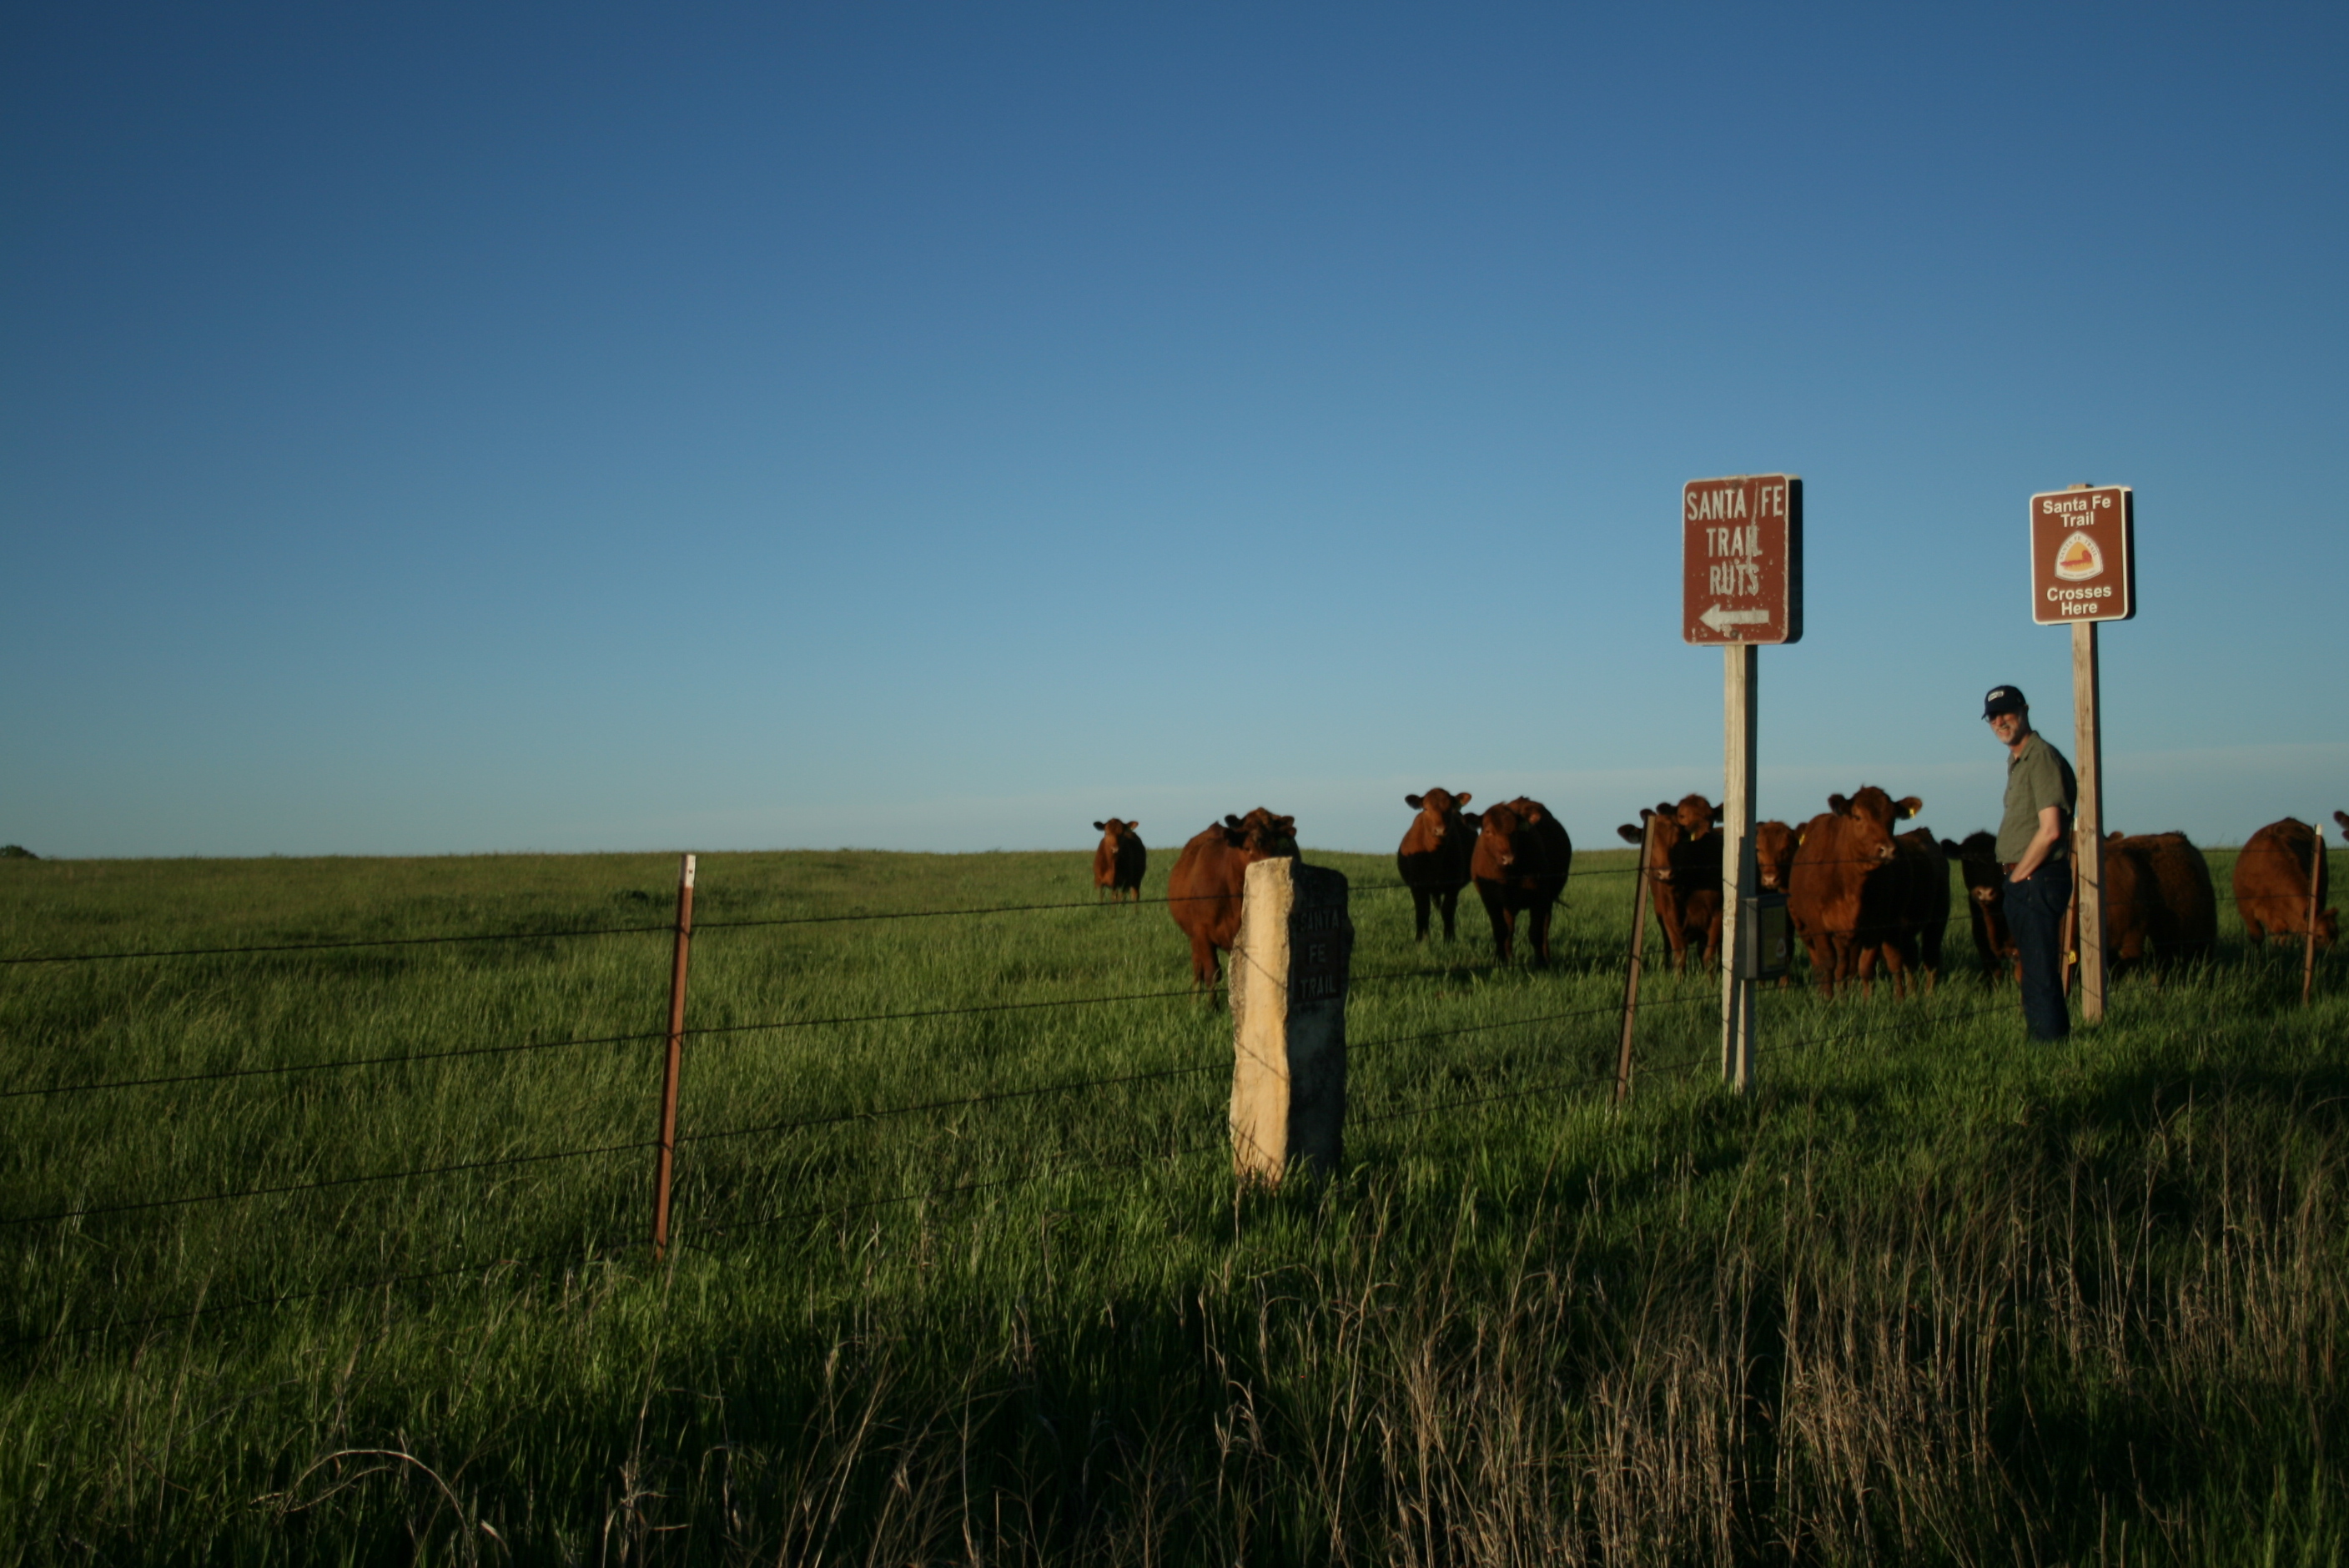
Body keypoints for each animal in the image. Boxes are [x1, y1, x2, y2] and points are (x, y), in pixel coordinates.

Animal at [1396, 788, 1476, 942]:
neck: (1435, 856)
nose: (1440, 830)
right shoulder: (1417, 885)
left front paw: (1449, 939)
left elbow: (1448, 910)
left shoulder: (1453, 885)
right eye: (1426, 808)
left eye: (1449, 808)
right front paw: (1421, 940)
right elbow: (1422, 912)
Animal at [1471, 797, 1573, 965]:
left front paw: (1540, 963)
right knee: (1510, 927)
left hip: (1548, 900)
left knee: (1545, 927)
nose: (1508, 858)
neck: (1508, 874)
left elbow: (1536, 932)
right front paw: (1500, 960)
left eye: (1516, 831)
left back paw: (1546, 957)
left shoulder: (1540, 898)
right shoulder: (1490, 900)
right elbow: (1500, 930)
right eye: (1488, 831)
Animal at [1615, 796, 1723, 972]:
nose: (1665, 873)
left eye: (1679, 841)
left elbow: (1709, 958)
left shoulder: (1717, 916)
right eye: (1649, 842)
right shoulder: (1669, 919)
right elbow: (1679, 959)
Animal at [1785, 786, 1921, 997]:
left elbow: (1865, 966)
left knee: (1872, 962)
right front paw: (1827, 998)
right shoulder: (1818, 924)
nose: (1887, 850)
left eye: (1893, 817)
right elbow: (1828, 962)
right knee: (1828, 964)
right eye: (1858, 816)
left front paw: (1867, 1000)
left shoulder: (1877, 924)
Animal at [2232, 817, 2336, 949]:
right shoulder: (2247, 911)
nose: (2326, 954)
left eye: (2336, 936)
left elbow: (2283, 940)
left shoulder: (2287, 919)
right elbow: (2258, 937)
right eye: (2319, 936)